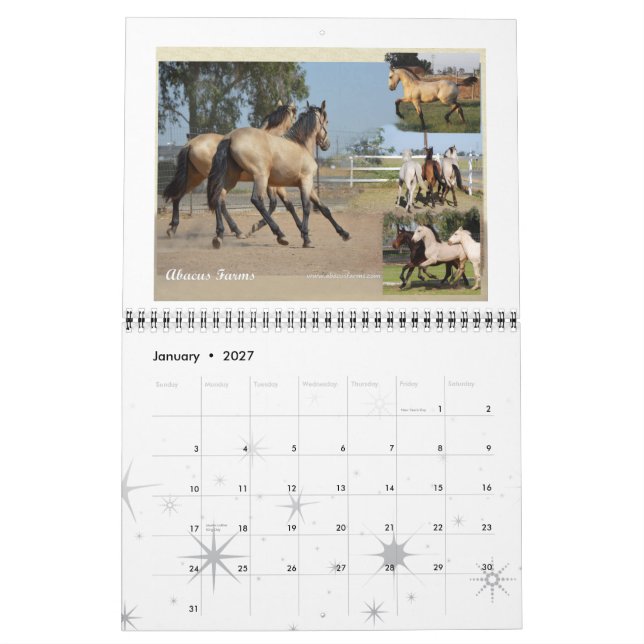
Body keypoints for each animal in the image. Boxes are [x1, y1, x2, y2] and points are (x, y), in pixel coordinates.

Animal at [162, 102, 298, 238]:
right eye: (294, 116)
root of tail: (190, 144)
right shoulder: (270, 182)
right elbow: (275, 204)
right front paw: (257, 227)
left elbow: (288, 204)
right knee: (219, 201)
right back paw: (236, 231)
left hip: (195, 177)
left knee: (177, 196)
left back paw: (173, 229)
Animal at [207, 101, 350, 249]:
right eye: (326, 121)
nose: (327, 144)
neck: (301, 145)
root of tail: (230, 137)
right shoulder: (305, 181)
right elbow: (305, 207)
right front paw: (306, 238)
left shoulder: (306, 185)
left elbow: (323, 208)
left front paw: (344, 233)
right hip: (260, 177)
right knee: (257, 201)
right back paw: (279, 234)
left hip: (231, 178)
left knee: (218, 197)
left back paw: (220, 236)